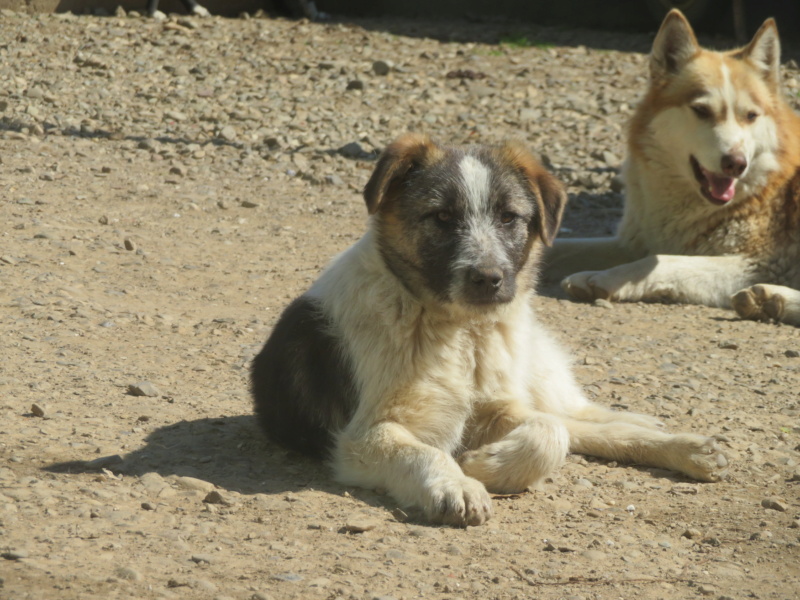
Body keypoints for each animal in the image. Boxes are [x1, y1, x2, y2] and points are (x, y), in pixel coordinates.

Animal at [252, 132, 732, 524]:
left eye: (507, 218)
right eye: (442, 217)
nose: (488, 278)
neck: (459, 333)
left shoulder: (498, 409)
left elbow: (550, 433)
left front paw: (485, 466)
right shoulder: (364, 435)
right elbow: (424, 452)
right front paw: (457, 484)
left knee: (578, 419)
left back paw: (684, 445)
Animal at [548, 9, 800, 326]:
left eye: (751, 116)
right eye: (701, 111)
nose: (736, 164)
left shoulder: (761, 263)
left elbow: (663, 262)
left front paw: (603, 278)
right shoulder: (632, 242)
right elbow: (555, 246)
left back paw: (772, 299)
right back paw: (769, 302)